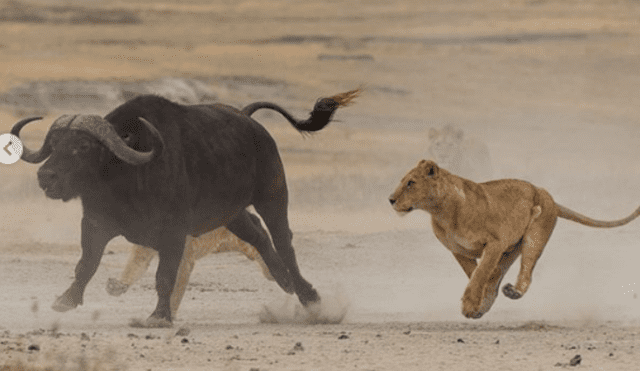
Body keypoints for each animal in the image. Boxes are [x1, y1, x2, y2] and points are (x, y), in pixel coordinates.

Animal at [107, 215, 272, 320]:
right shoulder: (144, 248)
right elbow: (134, 267)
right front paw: (117, 286)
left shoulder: (184, 259)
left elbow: (175, 288)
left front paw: (164, 316)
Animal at [390, 160, 640, 320]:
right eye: (402, 181)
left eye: (411, 183)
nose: (391, 199)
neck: (441, 211)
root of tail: (549, 196)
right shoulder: (459, 250)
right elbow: (476, 274)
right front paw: (477, 305)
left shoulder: (495, 243)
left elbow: (479, 275)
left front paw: (470, 304)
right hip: (512, 248)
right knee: (497, 275)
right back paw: (490, 302)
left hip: (533, 237)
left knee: (526, 273)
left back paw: (514, 292)